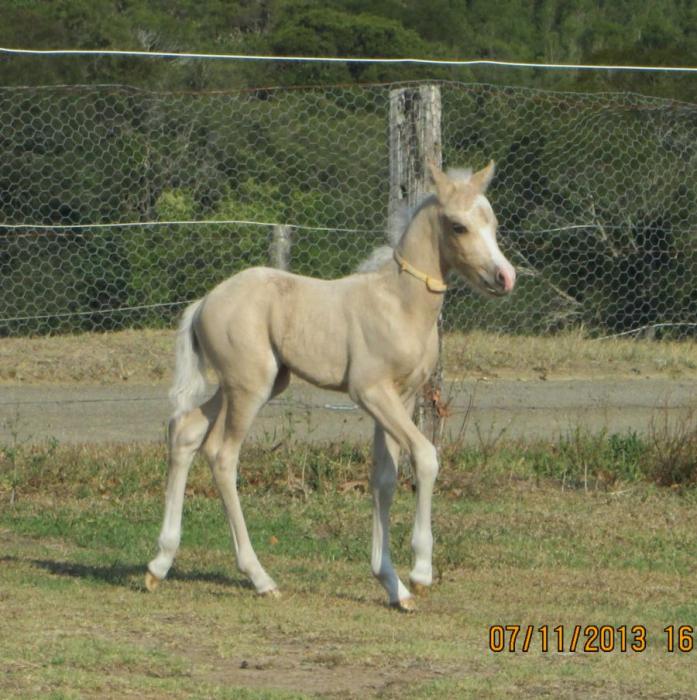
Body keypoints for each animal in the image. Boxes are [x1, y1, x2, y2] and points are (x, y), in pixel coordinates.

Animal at [145, 161, 516, 611]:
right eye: (459, 226)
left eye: (493, 223)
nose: (505, 277)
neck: (400, 302)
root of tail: (203, 303)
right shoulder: (370, 391)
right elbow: (426, 457)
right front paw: (420, 573)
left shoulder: (403, 395)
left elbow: (385, 477)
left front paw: (393, 585)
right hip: (249, 386)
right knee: (221, 455)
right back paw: (260, 577)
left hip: (258, 383)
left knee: (184, 431)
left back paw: (158, 565)